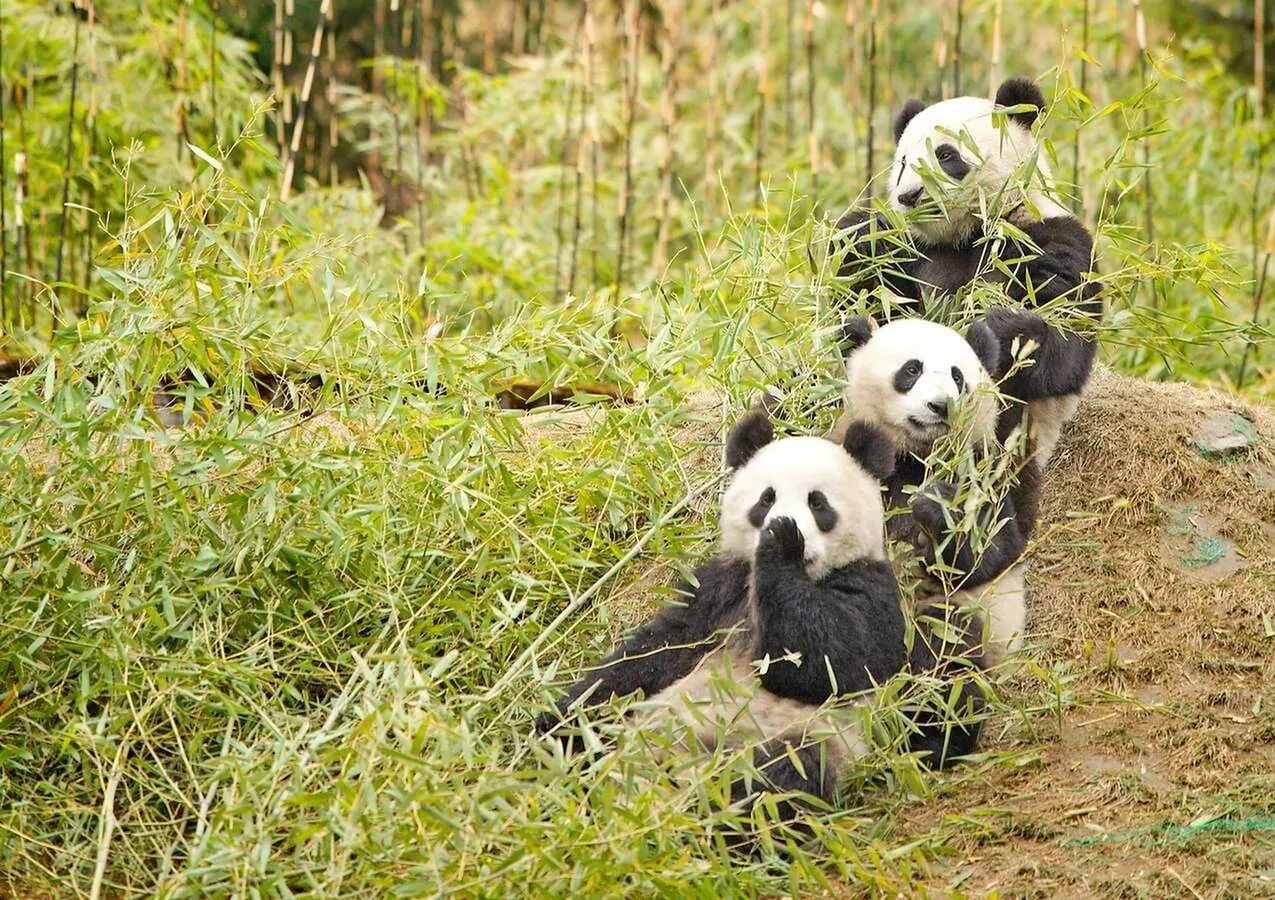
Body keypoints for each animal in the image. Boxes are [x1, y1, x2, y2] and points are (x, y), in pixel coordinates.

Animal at [538, 407, 984, 826]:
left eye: (817, 502)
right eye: (766, 498)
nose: (782, 523)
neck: (805, 576)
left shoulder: (871, 588)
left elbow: (834, 660)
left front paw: (782, 544)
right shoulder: (720, 590)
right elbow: (651, 654)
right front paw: (558, 715)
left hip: (794, 739)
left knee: (779, 781)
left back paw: (718, 817)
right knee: (587, 731)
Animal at [831, 75, 1101, 464]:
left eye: (945, 155)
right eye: (902, 163)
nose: (909, 196)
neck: (969, 233)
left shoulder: (1050, 238)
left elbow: (1062, 341)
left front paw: (998, 325)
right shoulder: (918, 253)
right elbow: (875, 305)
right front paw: (860, 238)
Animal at [836, 316, 1035, 667]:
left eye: (958, 376)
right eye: (912, 370)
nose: (941, 406)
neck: (918, 455)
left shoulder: (982, 471)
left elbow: (994, 548)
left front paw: (937, 505)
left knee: (944, 636)